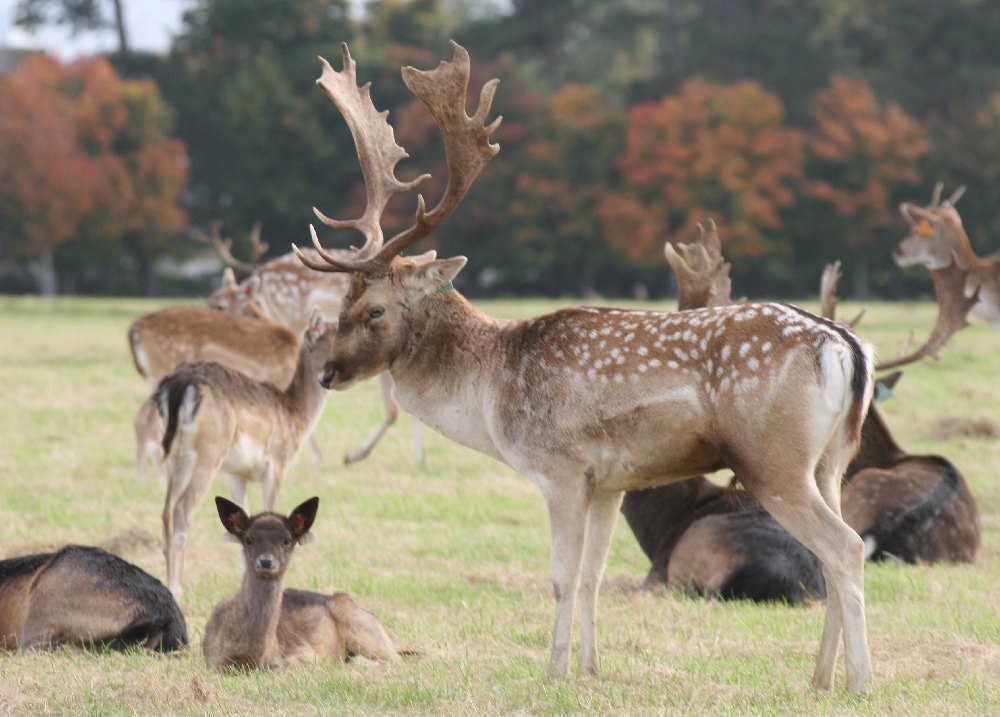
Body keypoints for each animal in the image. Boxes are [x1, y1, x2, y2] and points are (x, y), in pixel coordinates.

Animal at [202, 496, 398, 668]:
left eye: (287, 540)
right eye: (248, 539)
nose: (266, 561)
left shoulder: (304, 653)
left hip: (363, 629)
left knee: (394, 658)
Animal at [207, 232, 430, 468]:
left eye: (220, 306)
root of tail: (264, 270)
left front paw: (421, 458)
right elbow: (393, 409)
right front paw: (353, 456)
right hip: (291, 316)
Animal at [292, 42, 876, 692]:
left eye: (373, 310)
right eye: (340, 303)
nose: (329, 372)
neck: (490, 392)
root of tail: (846, 346)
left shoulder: (561, 467)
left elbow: (562, 577)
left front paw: (553, 673)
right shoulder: (610, 482)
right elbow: (595, 577)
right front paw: (592, 670)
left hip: (771, 458)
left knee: (846, 547)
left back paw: (859, 681)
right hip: (830, 459)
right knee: (833, 550)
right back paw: (819, 678)